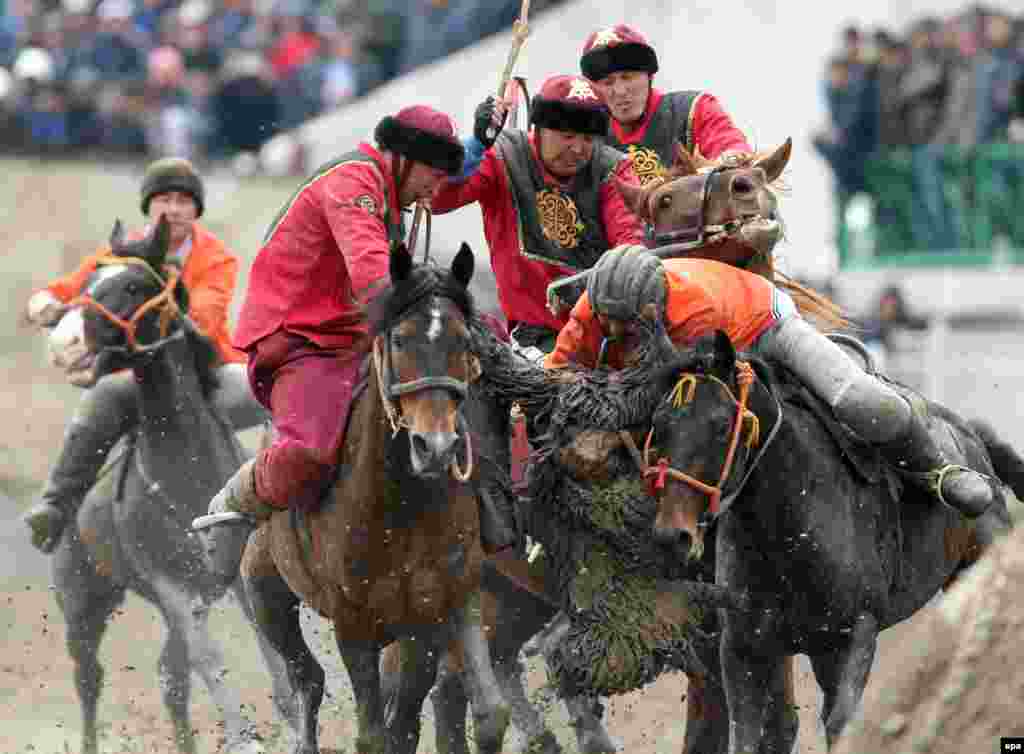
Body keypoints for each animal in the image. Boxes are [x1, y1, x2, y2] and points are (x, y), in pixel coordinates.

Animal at [234, 242, 509, 754]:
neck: (400, 506)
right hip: (264, 587)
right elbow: (374, 735)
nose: (434, 447)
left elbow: (450, 718)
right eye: (400, 339)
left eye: (465, 342)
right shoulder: (352, 623)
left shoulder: (439, 610)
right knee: (307, 679)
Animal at [638, 331, 1015, 749]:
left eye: (721, 425)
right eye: (659, 424)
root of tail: (974, 443)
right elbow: (746, 733)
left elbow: (841, 725)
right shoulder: (743, 646)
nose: (672, 534)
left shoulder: (852, 638)